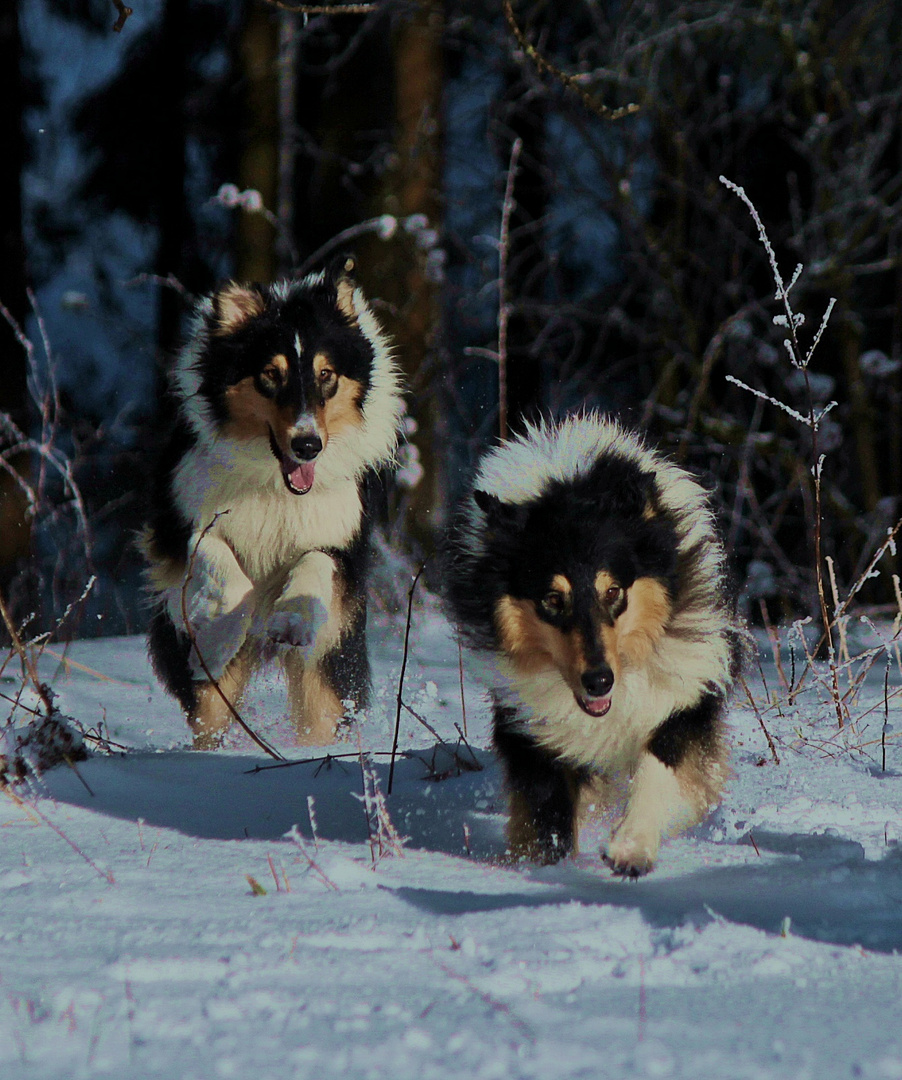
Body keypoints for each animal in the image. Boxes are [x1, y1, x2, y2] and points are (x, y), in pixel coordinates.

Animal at [142, 258, 404, 747]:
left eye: (326, 374)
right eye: (270, 374)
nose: (308, 445)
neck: (274, 485)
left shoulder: (343, 536)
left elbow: (316, 561)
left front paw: (291, 621)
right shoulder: (178, 523)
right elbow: (224, 569)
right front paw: (217, 643)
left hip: (329, 679)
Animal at [442, 412, 738, 876]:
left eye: (613, 591)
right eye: (551, 599)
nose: (598, 681)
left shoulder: (685, 696)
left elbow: (660, 769)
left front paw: (631, 848)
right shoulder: (529, 726)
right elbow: (550, 815)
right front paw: (550, 867)